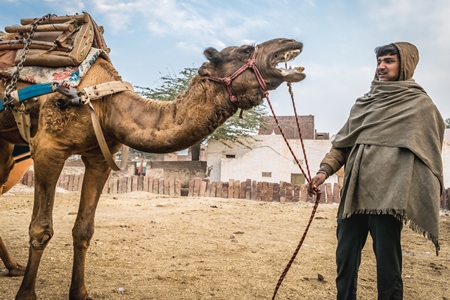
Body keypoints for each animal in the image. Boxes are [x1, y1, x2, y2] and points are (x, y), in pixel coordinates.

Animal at [0, 36, 306, 298]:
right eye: (245, 49)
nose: (291, 42)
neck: (101, 100)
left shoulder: (99, 158)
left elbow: (84, 229)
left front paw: (80, 294)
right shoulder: (48, 147)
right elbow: (41, 229)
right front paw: (26, 295)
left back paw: (13, 267)